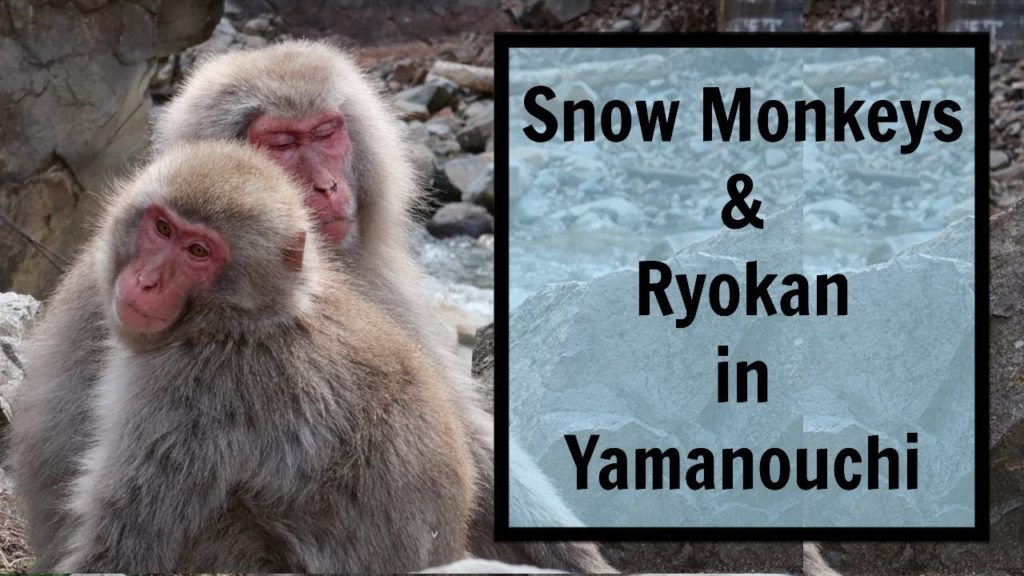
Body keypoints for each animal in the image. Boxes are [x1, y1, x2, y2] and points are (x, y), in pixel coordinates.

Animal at [44, 140, 475, 572]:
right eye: (162, 228)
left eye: (198, 251)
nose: (146, 281)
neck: (239, 322)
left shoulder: (194, 395)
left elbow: (125, 545)